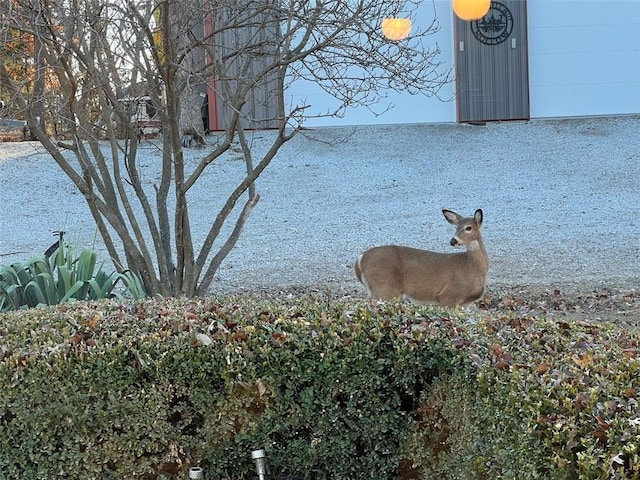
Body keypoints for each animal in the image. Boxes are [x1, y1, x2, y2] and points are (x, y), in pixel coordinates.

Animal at [356, 209, 490, 308]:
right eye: (456, 227)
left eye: (468, 227)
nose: (453, 241)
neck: (471, 266)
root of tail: (360, 259)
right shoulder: (449, 295)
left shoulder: (465, 303)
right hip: (385, 288)